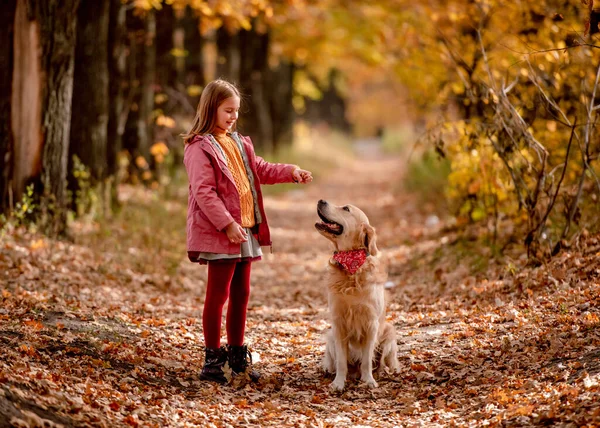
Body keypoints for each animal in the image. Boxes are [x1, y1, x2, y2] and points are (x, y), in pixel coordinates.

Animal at [314, 200, 398, 392]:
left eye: (346, 209)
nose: (321, 201)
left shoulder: (371, 323)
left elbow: (367, 359)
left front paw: (368, 380)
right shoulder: (338, 323)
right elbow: (341, 361)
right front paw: (338, 383)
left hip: (389, 333)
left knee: (386, 362)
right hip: (330, 336)